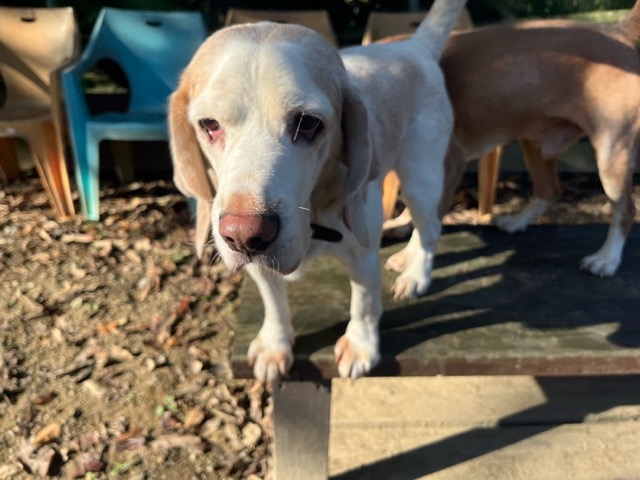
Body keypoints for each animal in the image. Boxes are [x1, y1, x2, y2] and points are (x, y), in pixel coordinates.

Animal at [168, 0, 467, 381]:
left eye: (308, 123)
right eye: (209, 125)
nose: (244, 235)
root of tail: (414, 47)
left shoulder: (363, 253)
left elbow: (364, 303)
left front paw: (360, 345)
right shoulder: (258, 268)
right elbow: (274, 302)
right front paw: (275, 344)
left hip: (420, 178)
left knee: (430, 228)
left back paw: (416, 274)